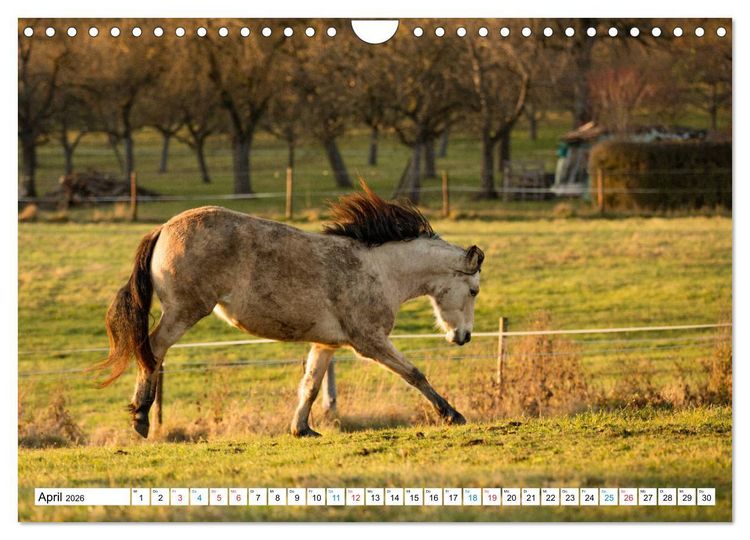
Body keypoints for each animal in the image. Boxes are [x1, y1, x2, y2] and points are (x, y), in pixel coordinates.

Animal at [95, 182, 484, 438]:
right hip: (184, 311)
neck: (381, 270)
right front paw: (452, 414)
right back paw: (141, 418)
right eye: (474, 291)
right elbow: (415, 374)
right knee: (152, 350)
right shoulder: (370, 341)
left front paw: (302, 429)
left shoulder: (328, 344)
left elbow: (310, 385)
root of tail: (163, 228)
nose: (464, 337)